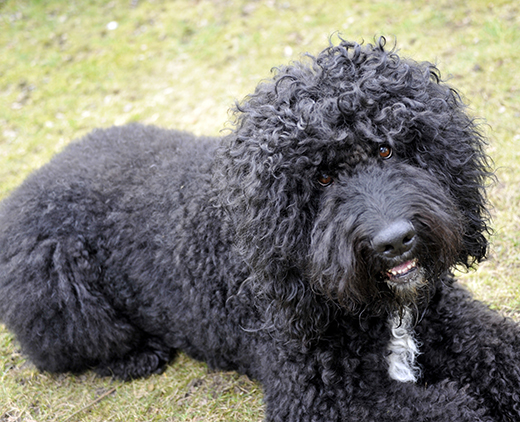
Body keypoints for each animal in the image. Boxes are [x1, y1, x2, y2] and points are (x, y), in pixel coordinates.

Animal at [1, 38, 520, 420]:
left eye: (388, 149)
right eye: (321, 178)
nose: (393, 241)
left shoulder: (452, 321)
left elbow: (502, 354)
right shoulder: (326, 398)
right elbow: (453, 408)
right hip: (61, 289)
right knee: (60, 347)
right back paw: (138, 355)